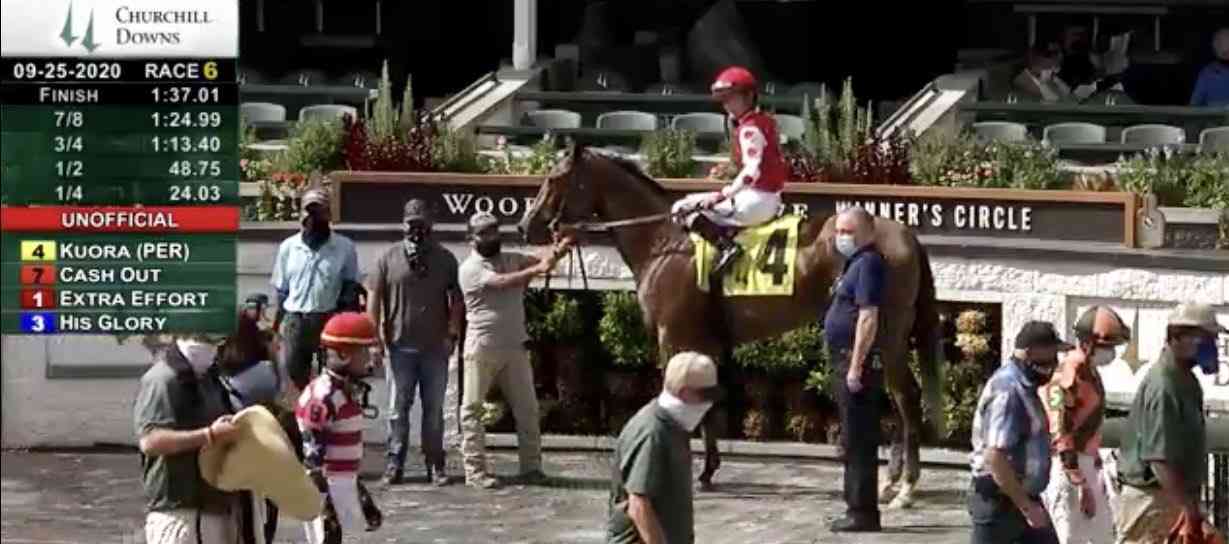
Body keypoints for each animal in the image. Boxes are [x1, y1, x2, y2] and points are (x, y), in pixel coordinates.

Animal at [518, 142, 945, 508]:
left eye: (554, 178)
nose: (526, 227)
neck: (663, 242)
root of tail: (905, 233)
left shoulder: (672, 337)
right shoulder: (703, 342)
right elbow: (706, 401)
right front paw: (708, 471)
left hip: (888, 331)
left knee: (906, 396)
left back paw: (906, 487)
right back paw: (892, 481)